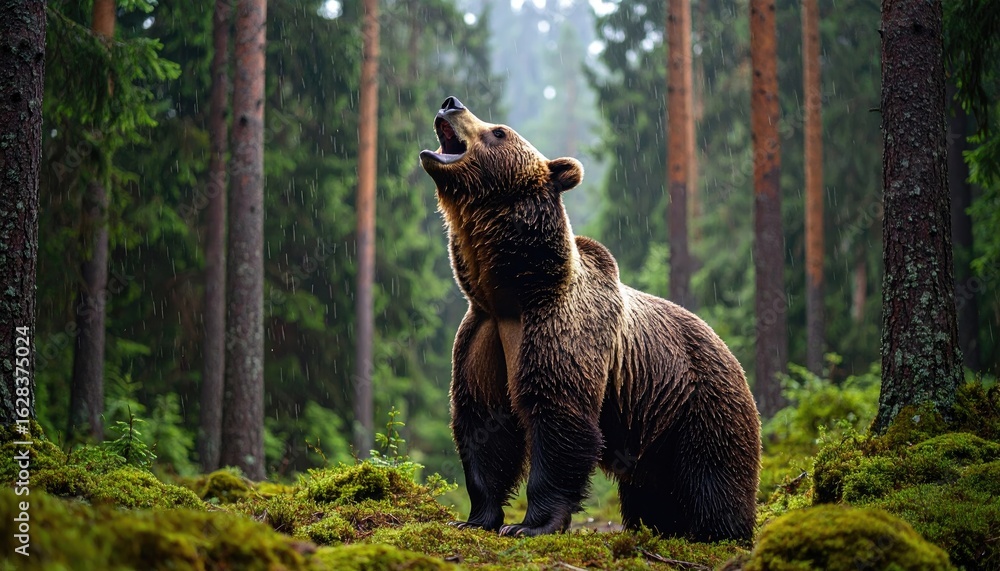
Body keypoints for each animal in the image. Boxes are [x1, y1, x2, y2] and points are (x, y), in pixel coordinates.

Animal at [419, 96, 761, 542]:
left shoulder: (561, 330)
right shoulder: (483, 336)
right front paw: (475, 517)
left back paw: (718, 531)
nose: (451, 103)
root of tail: (727, 348)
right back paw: (657, 526)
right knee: (652, 491)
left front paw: (530, 524)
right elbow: (483, 424)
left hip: (699, 402)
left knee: (714, 474)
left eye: (499, 131)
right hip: (655, 430)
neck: (513, 291)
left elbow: (559, 418)